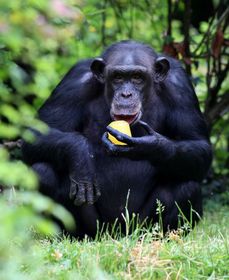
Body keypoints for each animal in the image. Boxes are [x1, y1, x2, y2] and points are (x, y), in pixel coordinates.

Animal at [21, 40, 211, 237]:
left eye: (137, 77)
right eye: (118, 77)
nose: (126, 94)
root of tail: (116, 234)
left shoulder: (180, 86)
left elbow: (199, 144)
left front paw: (150, 147)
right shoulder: (74, 82)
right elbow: (36, 132)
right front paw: (81, 159)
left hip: (138, 225)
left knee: (187, 185)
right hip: (96, 228)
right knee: (43, 172)